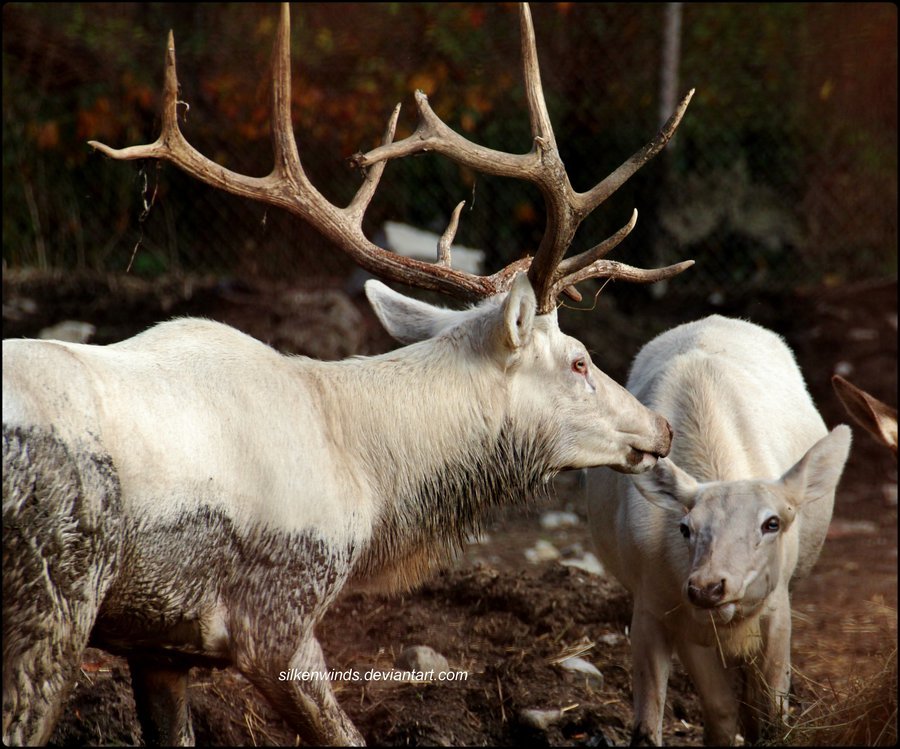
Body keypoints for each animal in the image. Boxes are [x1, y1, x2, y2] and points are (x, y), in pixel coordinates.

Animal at [1, 4, 696, 744]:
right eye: (580, 360)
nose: (661, 427)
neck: (369, 472)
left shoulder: (159, 644)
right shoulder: (277, 616)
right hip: (54, 598)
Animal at [588, 314, 848, 744]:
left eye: (772, 523)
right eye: (685, 527)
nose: (707, 586)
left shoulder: (778, 602)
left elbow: (772, 710)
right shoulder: (655, 605)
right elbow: (685, 716)